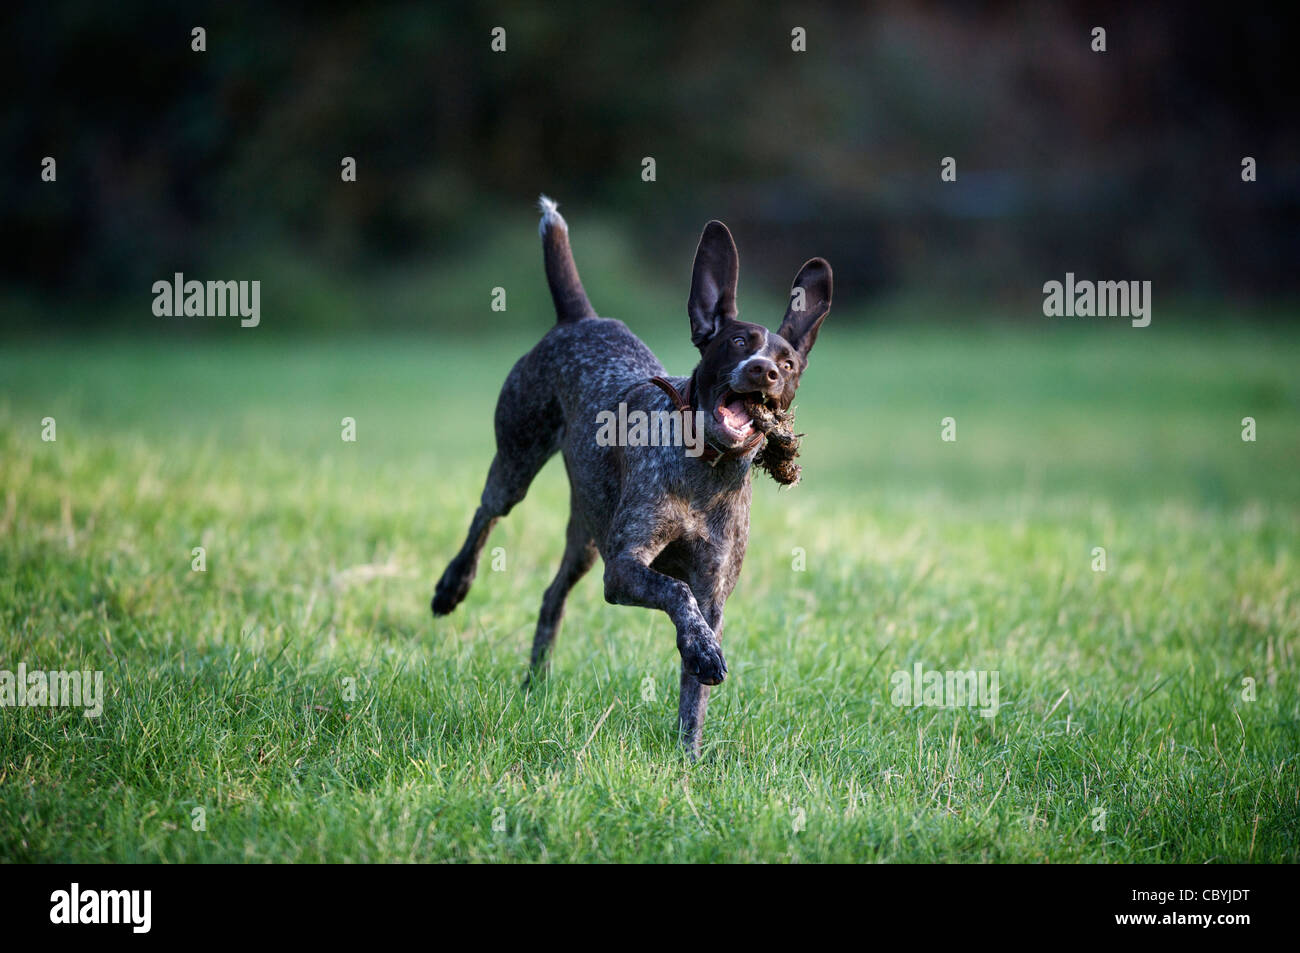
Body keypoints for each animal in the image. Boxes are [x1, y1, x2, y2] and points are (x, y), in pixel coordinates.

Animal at [431, 197, 826, 754]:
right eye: (735, 342)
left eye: (787, 364)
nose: (763, 372)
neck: (705, 472)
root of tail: (582, 318)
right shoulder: (623, 569)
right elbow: (676, 594)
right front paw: (700, 658)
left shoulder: (713, 595)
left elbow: (693, 685)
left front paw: (689, 755)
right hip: (517, 464)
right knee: (483, 517)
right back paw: (452, 587)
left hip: (586, 537)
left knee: (551, 596)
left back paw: (536, 684)